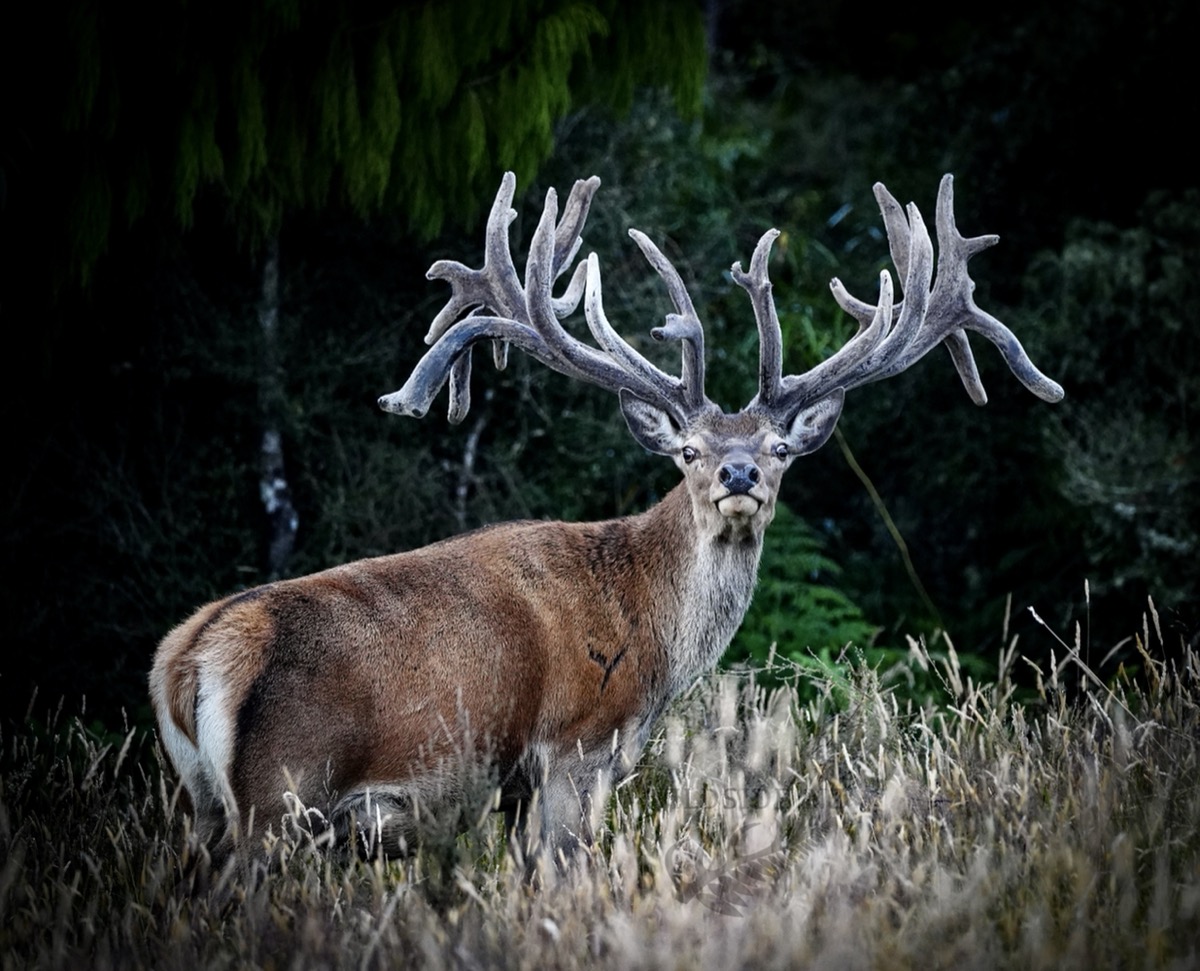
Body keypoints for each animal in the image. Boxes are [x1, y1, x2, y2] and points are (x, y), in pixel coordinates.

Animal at [150, 171, 1063, 869]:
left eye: (777, 447)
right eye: (690, 449)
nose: (737, 473)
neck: (653, 631)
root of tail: (190, 656)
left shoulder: (524, 781)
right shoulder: (576, 746)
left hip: (206, 806)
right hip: (282, 792)